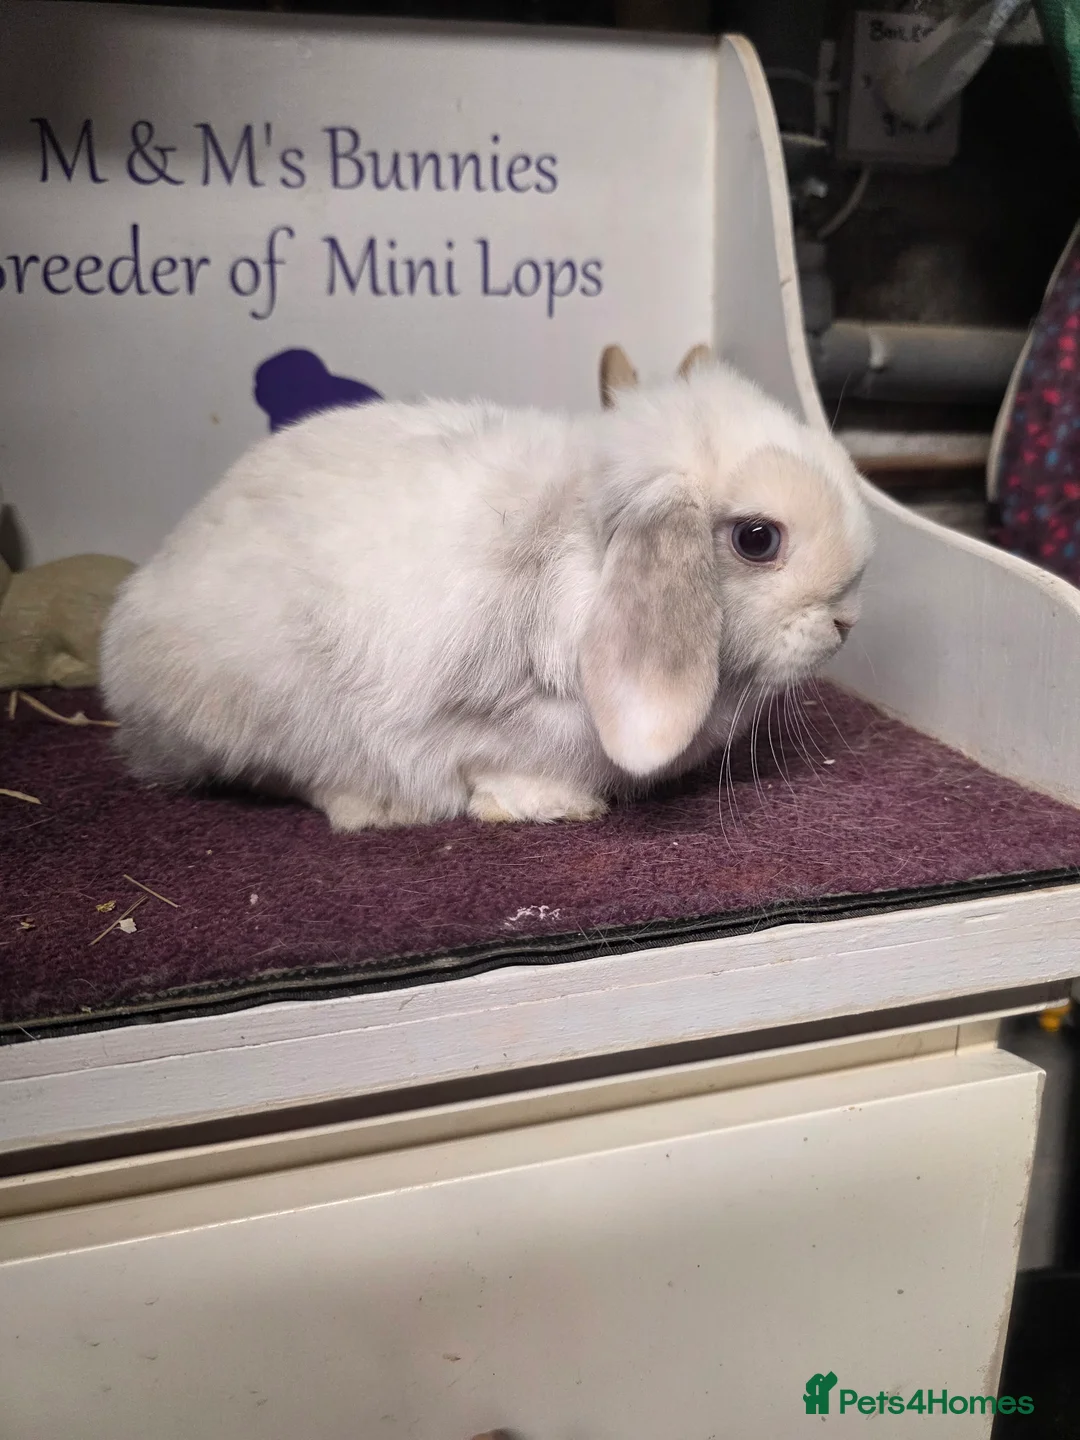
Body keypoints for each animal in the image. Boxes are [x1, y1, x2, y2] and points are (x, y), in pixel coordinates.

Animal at [101, 349, 873, 832]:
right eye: (757, 539)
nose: (846, 624)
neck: (586, 555)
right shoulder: (486, 717)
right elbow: (496, 768)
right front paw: (555, 808)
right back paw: (376, 807)